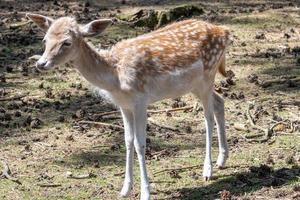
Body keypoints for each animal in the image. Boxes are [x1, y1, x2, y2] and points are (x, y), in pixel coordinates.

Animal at [27, 13, 231, 199]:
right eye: (45, 39)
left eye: (66, 42)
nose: (41, 63)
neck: (115, 77)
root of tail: (224, 31)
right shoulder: (123, 105)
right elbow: (127, 141)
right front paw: (125, 189)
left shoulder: (140, 101)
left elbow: (140, 144)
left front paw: (145, 193)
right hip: (194, 85)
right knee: (220, 102)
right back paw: (222, 159)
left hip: (208, 75)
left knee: (208, 117)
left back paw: (208, 170)